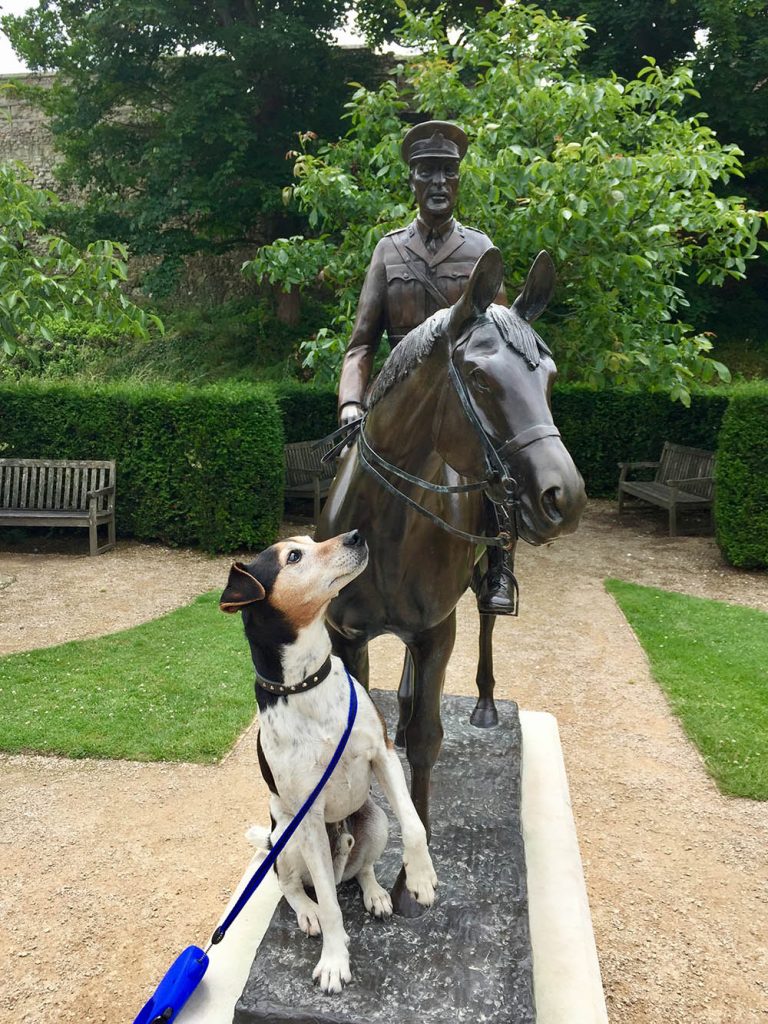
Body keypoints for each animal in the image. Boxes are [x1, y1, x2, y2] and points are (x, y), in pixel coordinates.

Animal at [222, 532, 438, 995]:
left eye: (309, 538)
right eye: (295, 556)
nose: (357, 534)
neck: (307, 683)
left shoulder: (383, 753)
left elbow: (415, 825)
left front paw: (420, 879)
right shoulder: (308, 815)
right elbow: (330, 905)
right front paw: (335, 961)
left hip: (375, 820)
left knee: (363, 868)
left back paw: (375, 892)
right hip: (287, 837)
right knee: (294, 886)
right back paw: (308, 911)